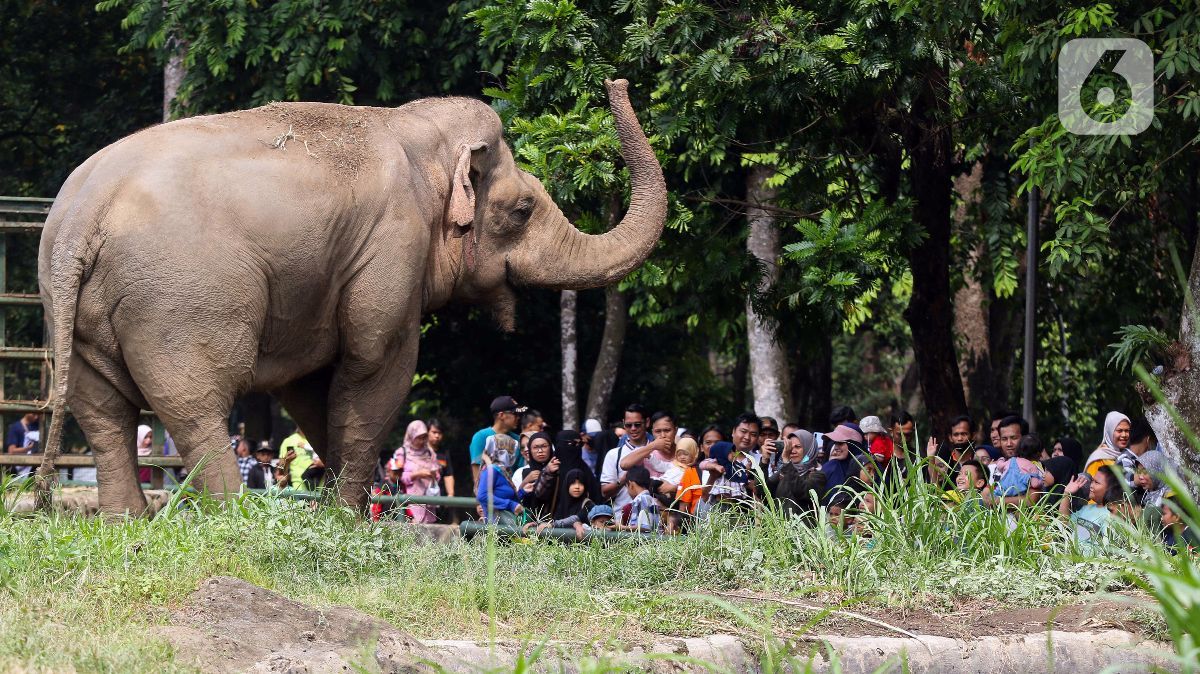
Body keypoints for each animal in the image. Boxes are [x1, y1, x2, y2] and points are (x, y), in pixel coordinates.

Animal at [37, 77, 667, 513]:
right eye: (523, 209)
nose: (618, 82)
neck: (415, 130)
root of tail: (79, 218)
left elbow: (313, 387)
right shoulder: (392, 246)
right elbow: (374, 367)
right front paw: (349, 521)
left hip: (76, 308)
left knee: (103, 413)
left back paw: (128, 523)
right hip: (180, 301)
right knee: (196, 408)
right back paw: (234, 518)